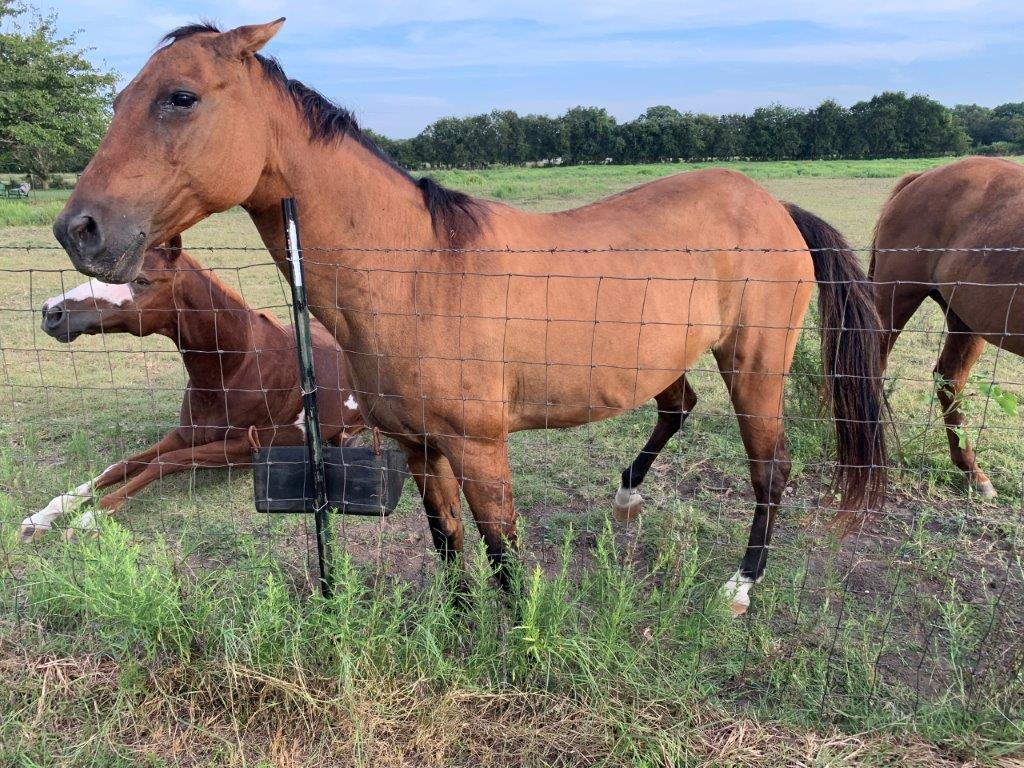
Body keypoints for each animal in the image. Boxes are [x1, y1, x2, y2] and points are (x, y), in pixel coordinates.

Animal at [19, 237, 366, 544]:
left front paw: (91, 519)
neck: (235, 368)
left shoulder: (242, 448)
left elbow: (163, 462)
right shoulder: (186, 434)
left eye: (142, 281)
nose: (51, 312)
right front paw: (44, 516)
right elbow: (123, 464)